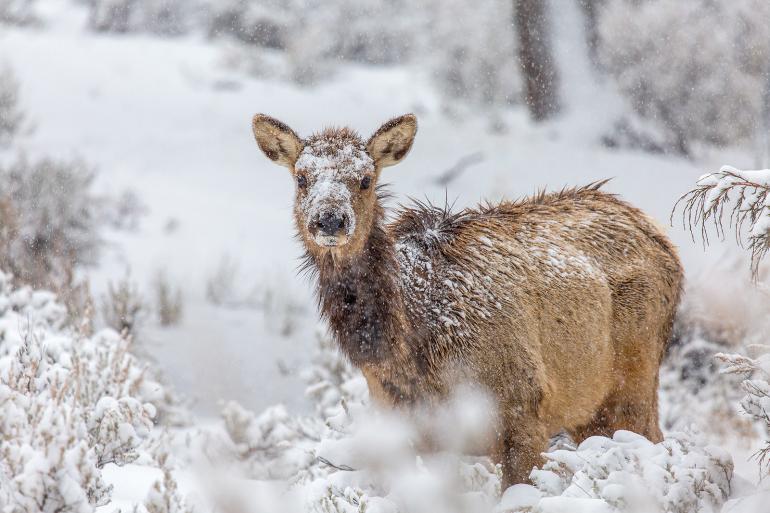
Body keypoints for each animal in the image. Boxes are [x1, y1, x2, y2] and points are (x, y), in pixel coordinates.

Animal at [249, 114, 680, 486]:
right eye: (302, 178)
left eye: (366, 179)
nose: (330, 220)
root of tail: (660, 236)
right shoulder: (410, 430)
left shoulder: (524, 407)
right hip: (587, 410)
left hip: (634, 378)